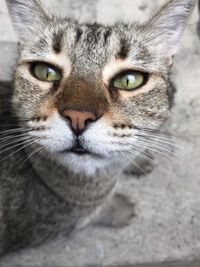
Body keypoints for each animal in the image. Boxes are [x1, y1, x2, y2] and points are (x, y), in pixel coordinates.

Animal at [0, 0, 195, 258]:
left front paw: (139, 158)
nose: (78, 117)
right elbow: (98, 211)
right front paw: (118, 208)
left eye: (129, 80)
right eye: (45, 72)